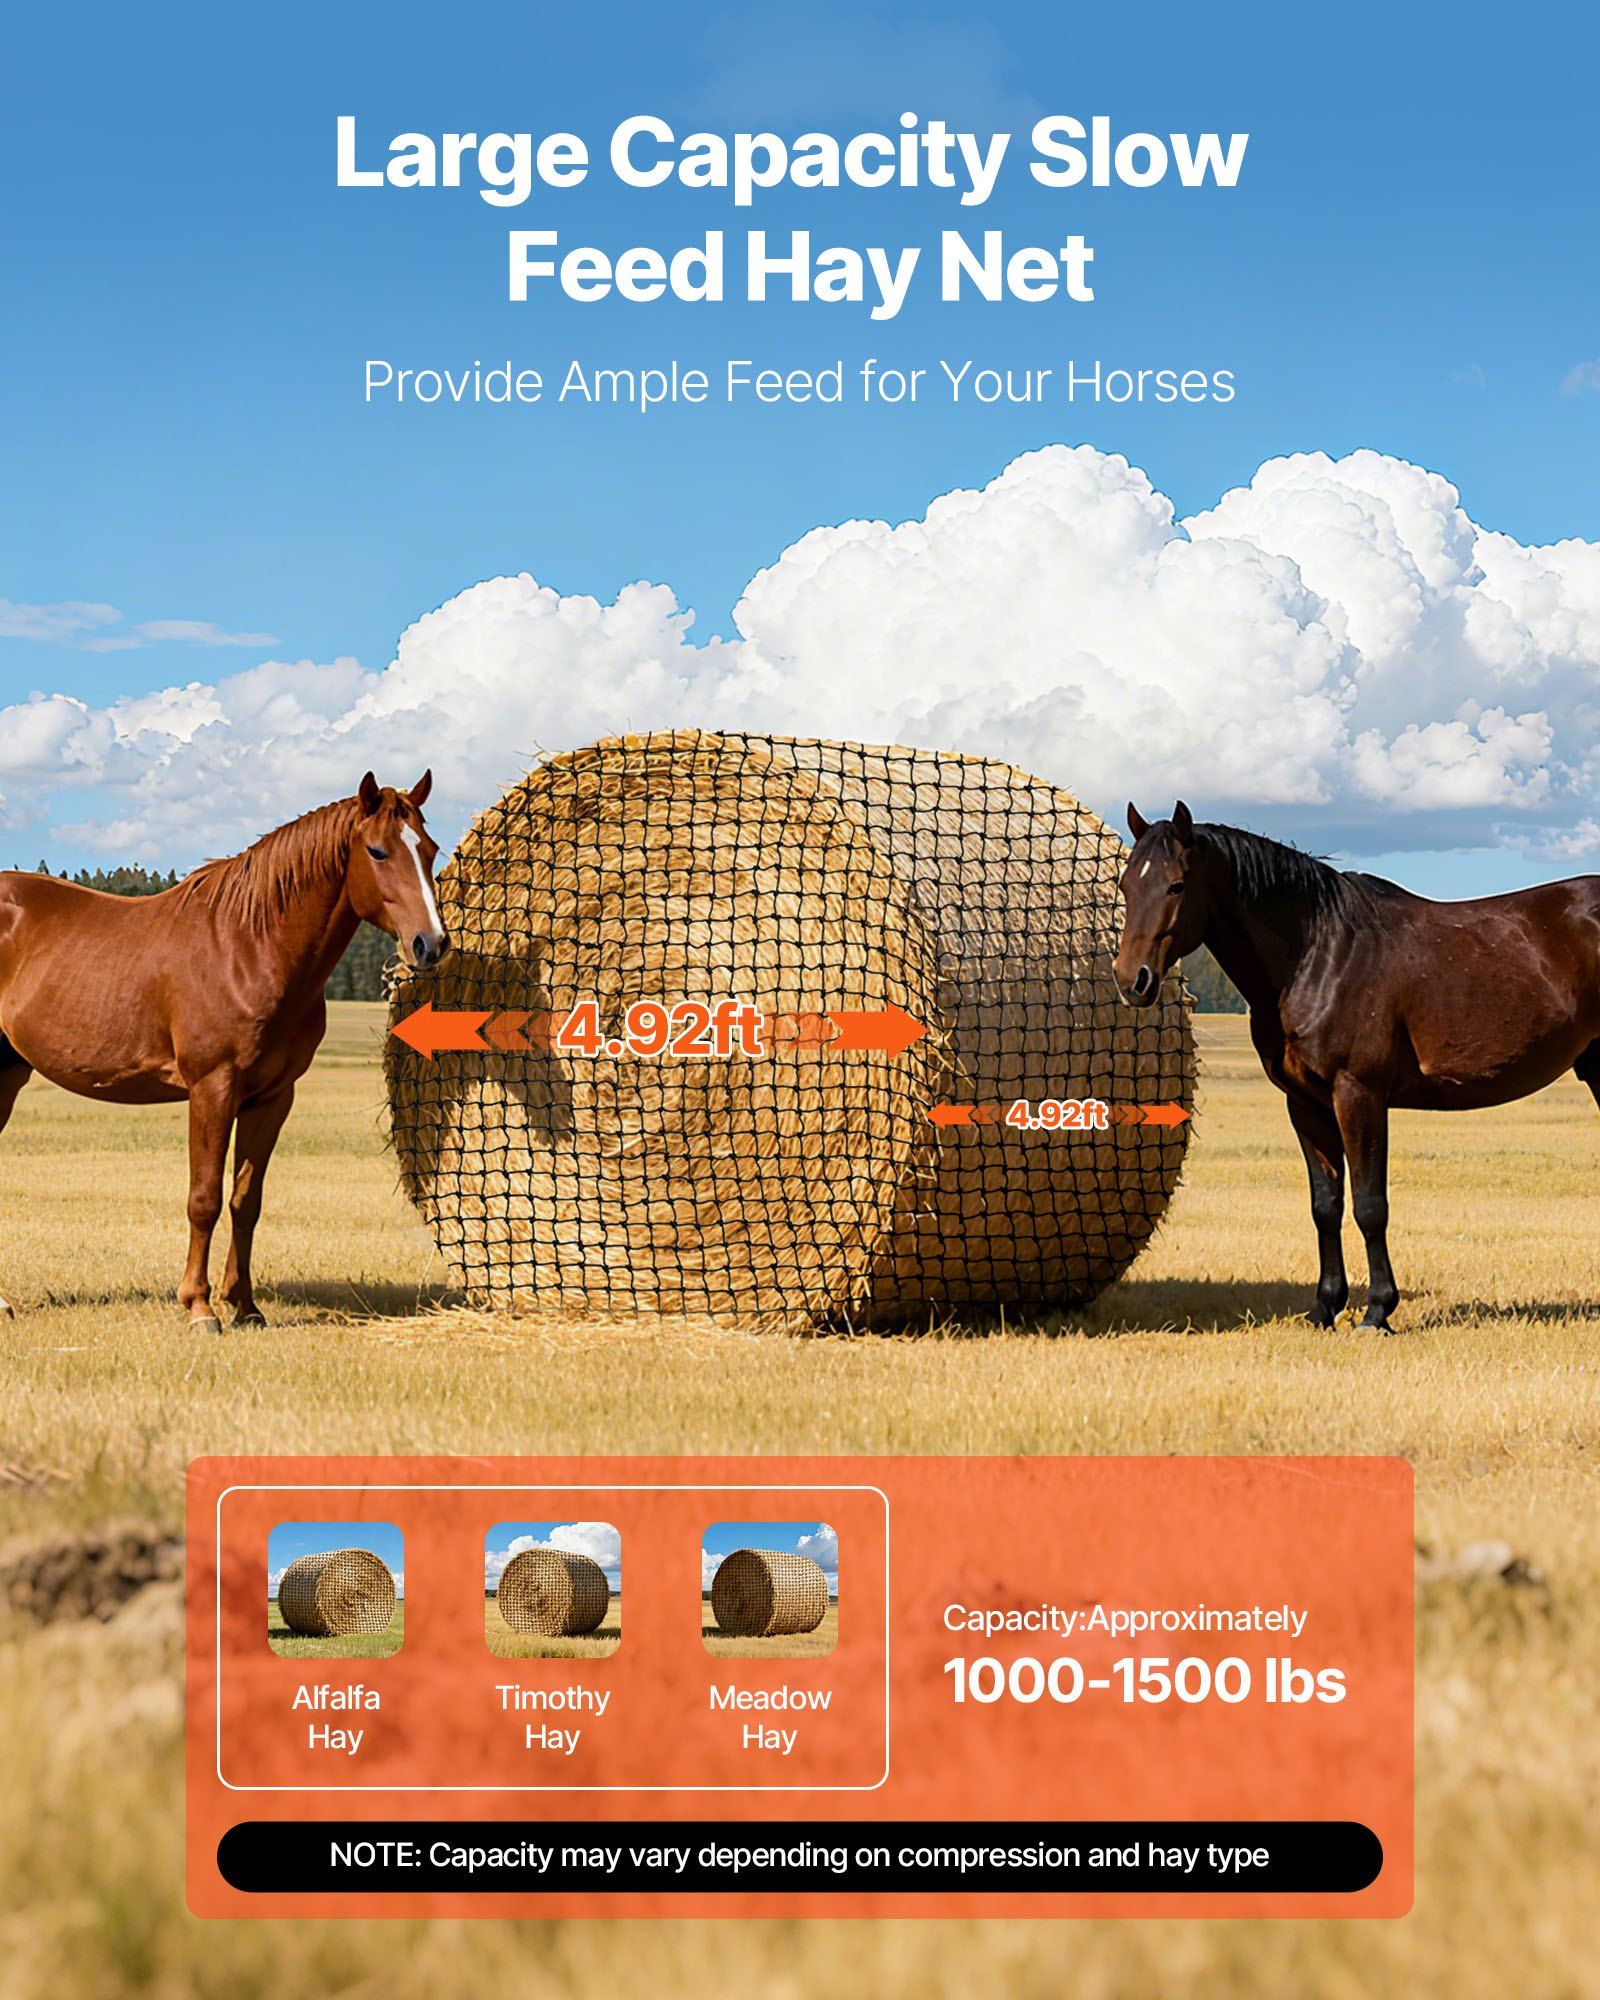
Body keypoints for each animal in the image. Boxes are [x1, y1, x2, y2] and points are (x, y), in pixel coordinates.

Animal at [0, 772, 448, 1332]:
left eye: (429, 849)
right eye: (378, 851)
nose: (432, 943)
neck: (247, 947)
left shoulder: (272, 1097)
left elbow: (244, 1201)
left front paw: (246, 1305)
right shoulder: (212, 1088)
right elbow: (204, 1198)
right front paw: (199, 1306)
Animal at [1113, 801, 1600, 1331]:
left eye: (1176, 885)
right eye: (1126, 884)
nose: (1131, 980)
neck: (1320, 955)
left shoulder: (1358, 1094)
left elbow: (1370, 1204)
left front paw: (1378, 1310)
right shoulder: (1305, 1104)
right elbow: (1325, 1205)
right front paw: (1326, 1306)